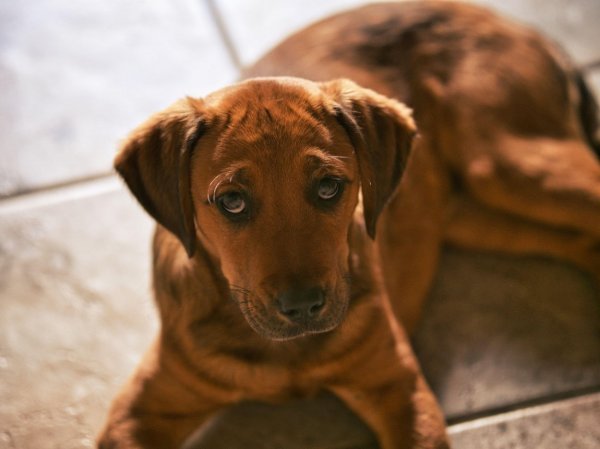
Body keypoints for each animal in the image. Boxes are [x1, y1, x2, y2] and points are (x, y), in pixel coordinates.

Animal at [96, 0, 596, 448]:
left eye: (329, 187)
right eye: (231, 201)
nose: (302, 307)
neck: (284, 353)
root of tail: (509, 22)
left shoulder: (401, 391)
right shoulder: (135, 414)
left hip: (504, 161)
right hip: (473, 211)